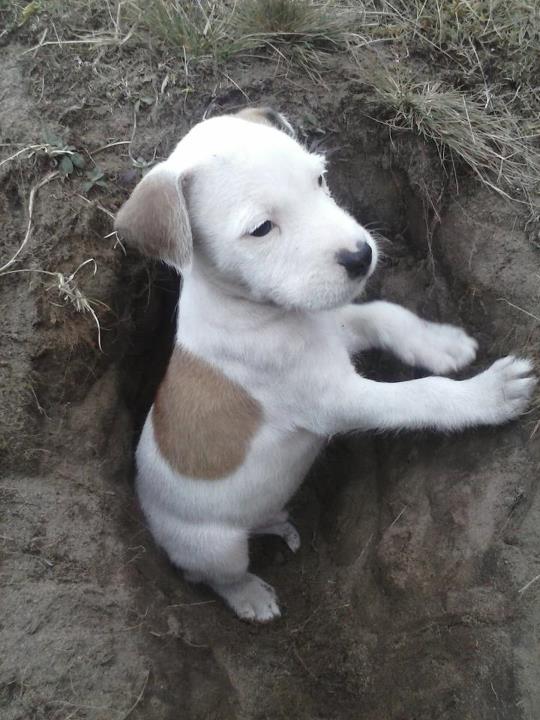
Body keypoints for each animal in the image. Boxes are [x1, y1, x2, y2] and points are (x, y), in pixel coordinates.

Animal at [116, 108, 536, 624]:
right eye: (262, 229)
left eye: (319, 179)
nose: (361, 256)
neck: (265, 311)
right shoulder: (336, 400)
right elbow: (423, 394)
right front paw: (490, 393)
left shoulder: (338, 325)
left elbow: (384, 314)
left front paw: (440, 343)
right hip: (213, 545)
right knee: (215, 576)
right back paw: (250, 596)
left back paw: (275, 522)